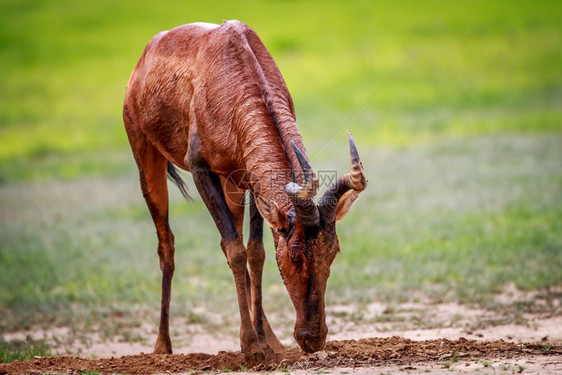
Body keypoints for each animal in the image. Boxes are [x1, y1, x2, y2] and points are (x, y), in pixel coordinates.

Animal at [122, 19, 366, 362]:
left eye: (333, 251)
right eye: (295, 254)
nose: (313, 339)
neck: (236, 65)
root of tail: (148, 52)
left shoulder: (251, 182)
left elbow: (254, 251)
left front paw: (263, 343)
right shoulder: (201, 170)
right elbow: (236, 250)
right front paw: (251, 348)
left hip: (232, 185)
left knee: (232, 239)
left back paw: (270, 340)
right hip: (146, 156)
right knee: (167, 245)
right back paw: (162, 346)